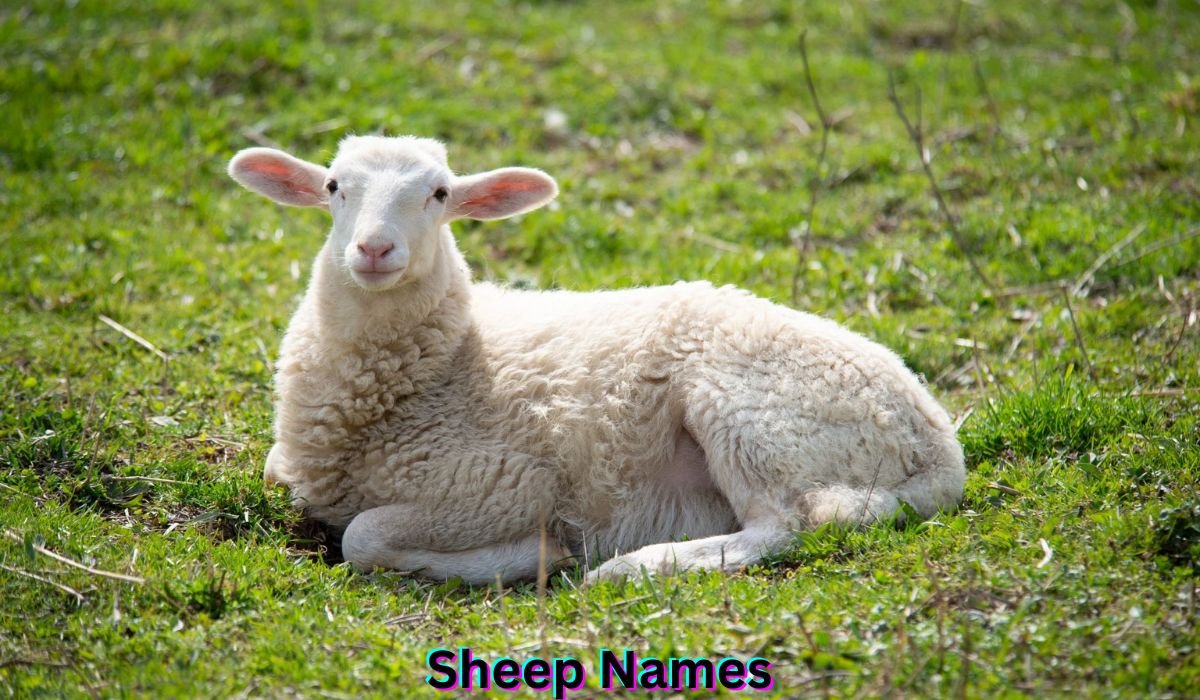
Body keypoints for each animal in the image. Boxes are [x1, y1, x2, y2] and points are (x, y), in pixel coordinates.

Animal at [227, 134, 966, 584]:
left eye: (439, 194)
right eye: (332, 187)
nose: (375, 249)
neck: (448, 365)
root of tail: (936, 441)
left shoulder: (503, 483)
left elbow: (363, 536)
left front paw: (535, 554)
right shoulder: (293, 461)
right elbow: (278, 475)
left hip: (753, 417)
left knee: (787, 526)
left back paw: (633, 567)